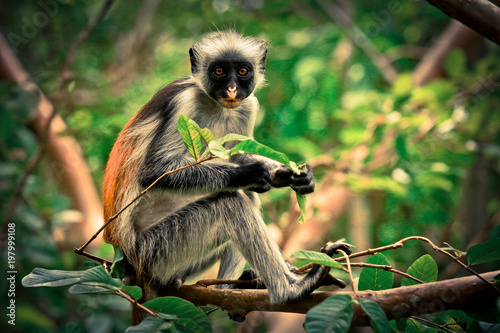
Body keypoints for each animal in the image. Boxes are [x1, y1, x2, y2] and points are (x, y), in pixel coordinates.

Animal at [103, 30, 350, 322]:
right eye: (219, 71)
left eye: (242, 71)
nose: (232, 90)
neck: (215, 104)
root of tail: (126, 257)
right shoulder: (184, 102)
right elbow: (156, 170)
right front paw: (251, 173)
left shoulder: (247, 105)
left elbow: (239, 155)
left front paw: (292, 176)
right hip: (155, 250)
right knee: (232, 204)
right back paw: (290, 290)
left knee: (243, 198)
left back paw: (229, 290)